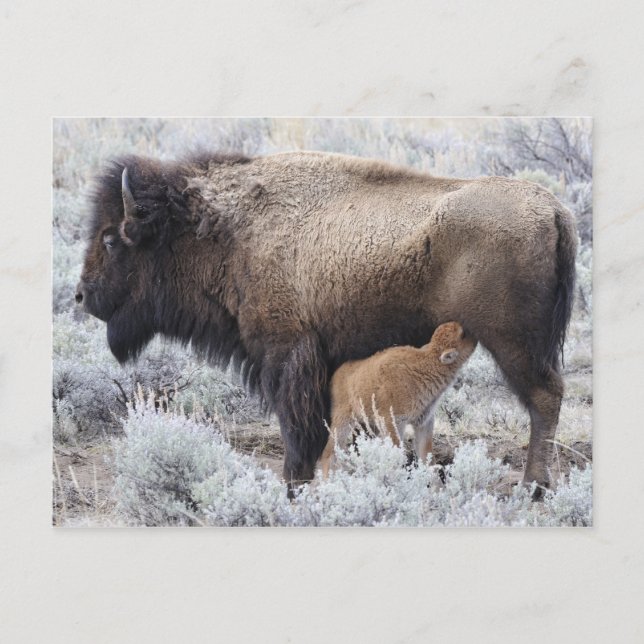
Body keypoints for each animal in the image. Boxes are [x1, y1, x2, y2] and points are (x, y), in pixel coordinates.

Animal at [319, 321, 477, 479]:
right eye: (462, 334)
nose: (475, 338)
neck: (427, 363)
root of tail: (338, 373)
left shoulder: (424, 422)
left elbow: (427, 460)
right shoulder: (393, 423)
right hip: (343, 421)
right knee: (329, 453)